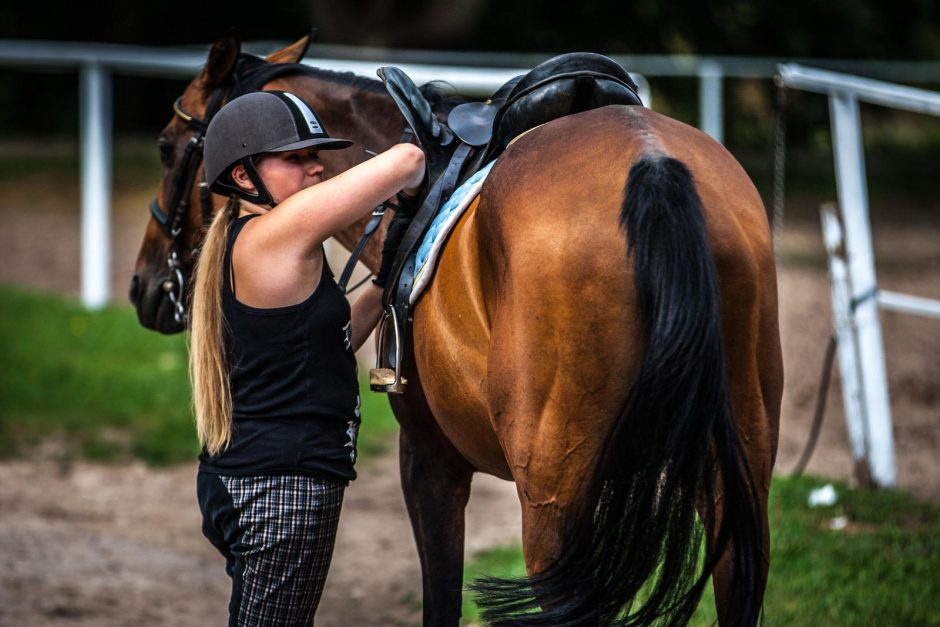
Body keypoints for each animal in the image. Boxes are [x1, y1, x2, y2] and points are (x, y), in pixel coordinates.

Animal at [129, 31, 784, 624]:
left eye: (166, 148)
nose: (142, 287)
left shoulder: (429, 462)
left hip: (554, 502)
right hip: (737, 478)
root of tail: (650, 162)